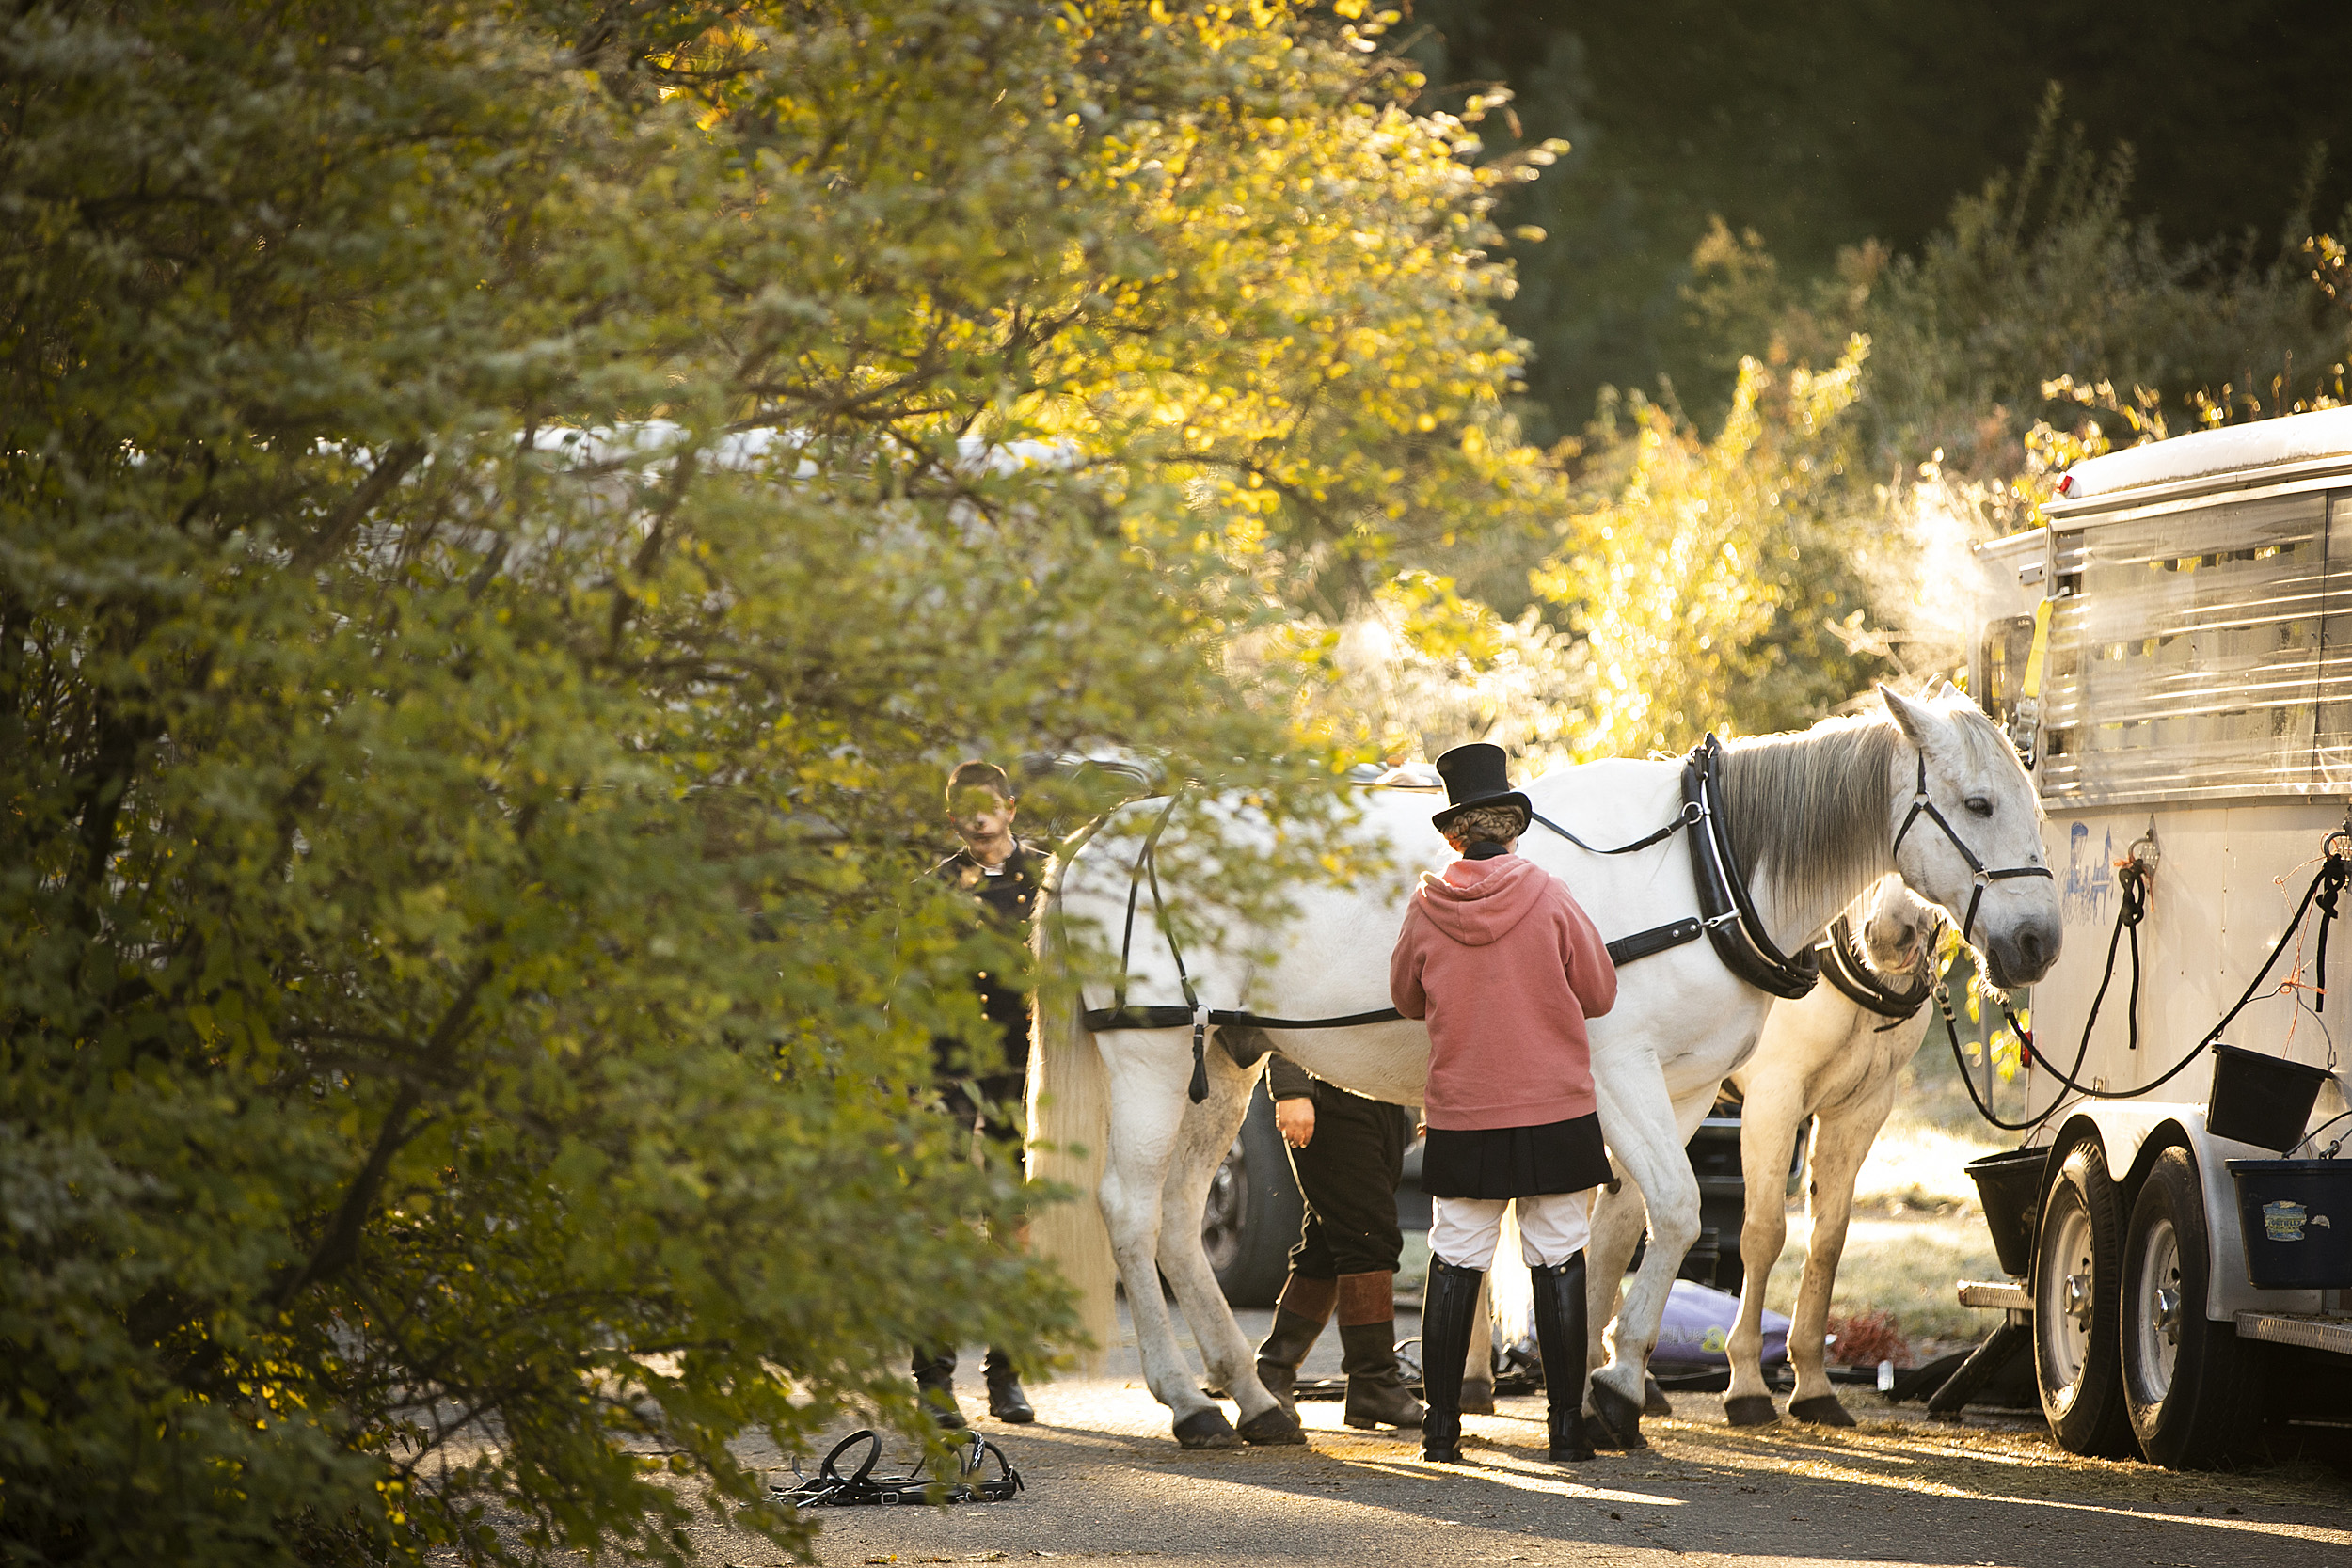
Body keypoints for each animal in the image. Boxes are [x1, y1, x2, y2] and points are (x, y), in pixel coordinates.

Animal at [1722, 879, 1938, 1429]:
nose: (1891, 934)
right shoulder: (1772, 1098)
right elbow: (1763, 1235)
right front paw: (1747, 1384)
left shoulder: (1860, 1109)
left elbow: (1827, 1241)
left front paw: (1813, 1386)